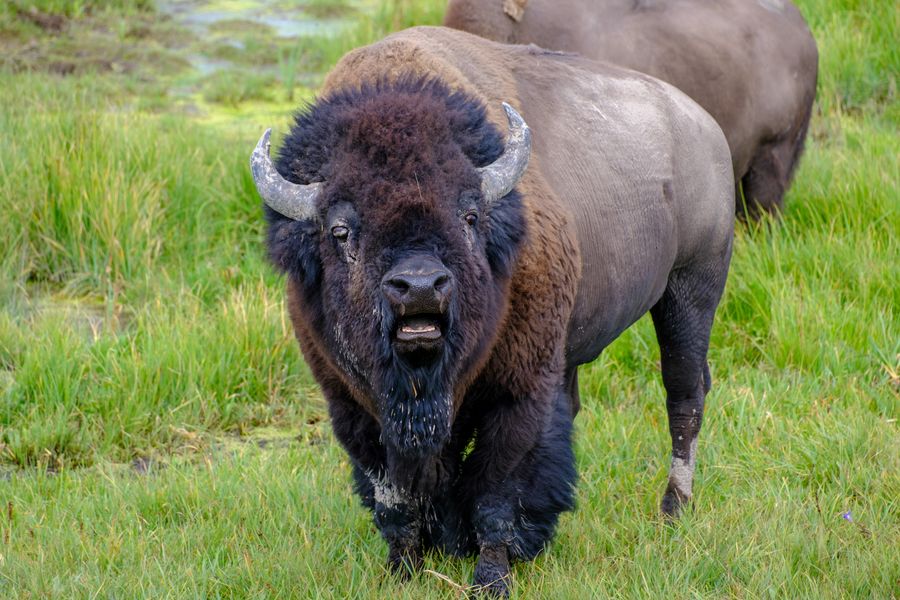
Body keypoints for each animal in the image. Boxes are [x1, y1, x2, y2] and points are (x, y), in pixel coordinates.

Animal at [251, 26, 733, 595]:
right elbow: (395, 498)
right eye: (340, 230)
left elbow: (495, 490)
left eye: (470, 215)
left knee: (684, 393)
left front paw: (491, 578)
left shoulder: (516, 394)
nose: (419, 287)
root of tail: (704, 126)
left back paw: (672, 509)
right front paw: (403, 570)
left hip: (691, 288)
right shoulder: (353, 408)